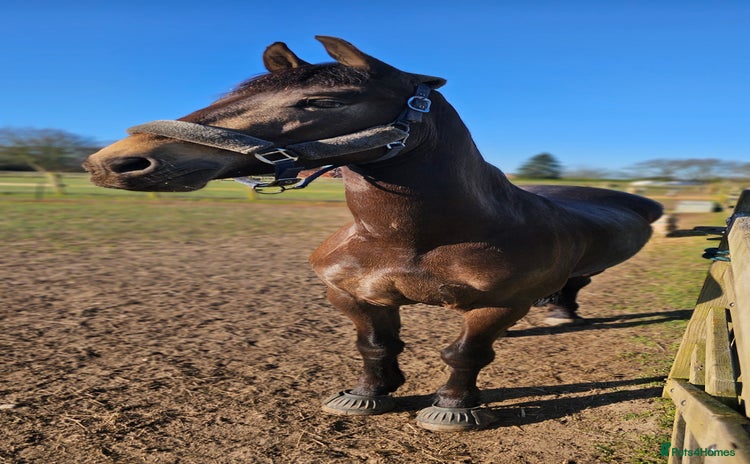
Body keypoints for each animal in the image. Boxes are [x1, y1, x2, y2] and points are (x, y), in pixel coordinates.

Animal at [83, 36, 663, 431]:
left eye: (323, 102)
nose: (115, 162)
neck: (411, 241)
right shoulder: (351, 293)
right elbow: (375, 345)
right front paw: (369, 394)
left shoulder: (496, 305)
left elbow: (466, 354)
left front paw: (452, 408)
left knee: (572, 285)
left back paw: (560, 313)